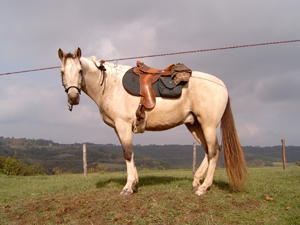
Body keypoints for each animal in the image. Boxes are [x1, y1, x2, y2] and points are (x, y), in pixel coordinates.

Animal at [56, 48, 248, 196]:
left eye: (80, 71)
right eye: (62, 72)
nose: (73, 97)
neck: (110, 86)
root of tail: (221, 85)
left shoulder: (123, 125)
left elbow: (127, 153)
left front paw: (128, 188)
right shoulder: (118, 128)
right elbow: (130, 153)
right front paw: (134, 184)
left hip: (208, 125)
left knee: (214, 151)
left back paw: (203, 187)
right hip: (194, 125)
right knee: (208, 151)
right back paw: (196, 182)